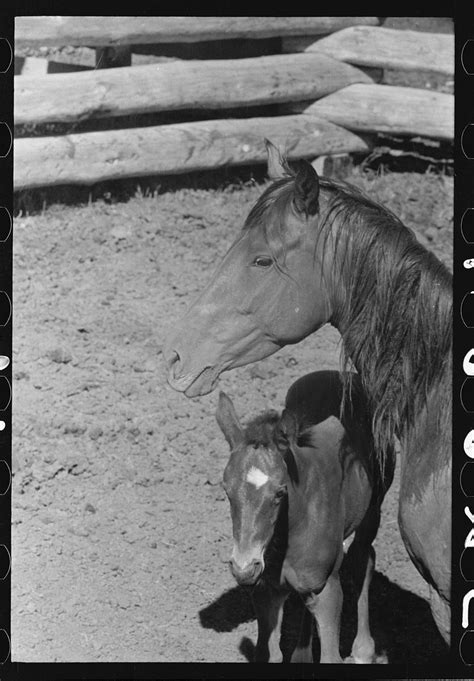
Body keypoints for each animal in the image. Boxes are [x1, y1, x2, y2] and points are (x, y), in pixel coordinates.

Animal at [217, 370, 394, 660]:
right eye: (226, 489)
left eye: (280, 492)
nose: (244, 568)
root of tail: (342, 374)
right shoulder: (266, 591)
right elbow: (269, 653)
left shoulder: (328, 591)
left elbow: (331, 657)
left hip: (373, 506)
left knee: (363, 559)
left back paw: (363, 651)